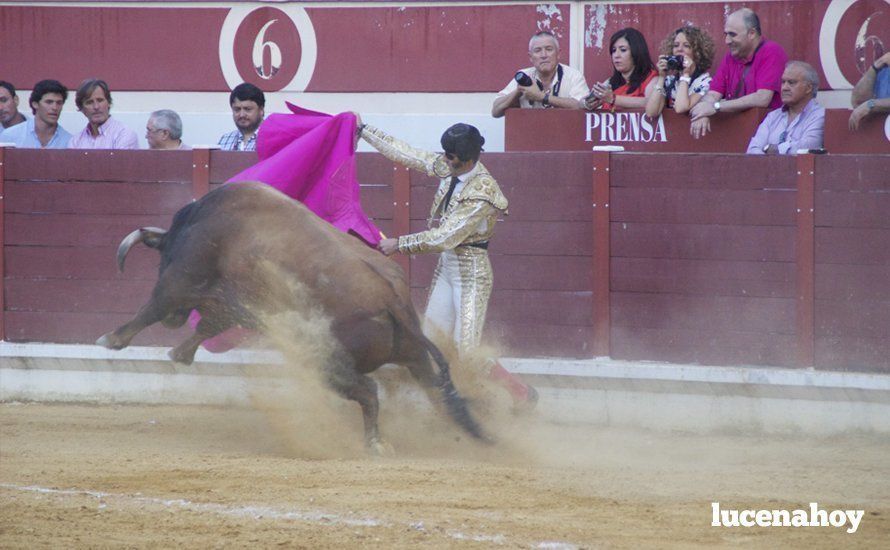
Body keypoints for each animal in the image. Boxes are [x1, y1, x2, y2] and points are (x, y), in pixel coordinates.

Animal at [96, 183, 490, 454]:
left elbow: (154, 305)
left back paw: (374, 443)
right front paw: (180, 354)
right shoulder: (232, 303)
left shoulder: (181, 279)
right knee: (437, 393)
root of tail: (391, 298)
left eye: (162, 257)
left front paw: (111, 339)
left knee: (368, 391)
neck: (198, 222)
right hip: (414, 356)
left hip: (326, 362)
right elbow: (209, 324)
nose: (176, 322)